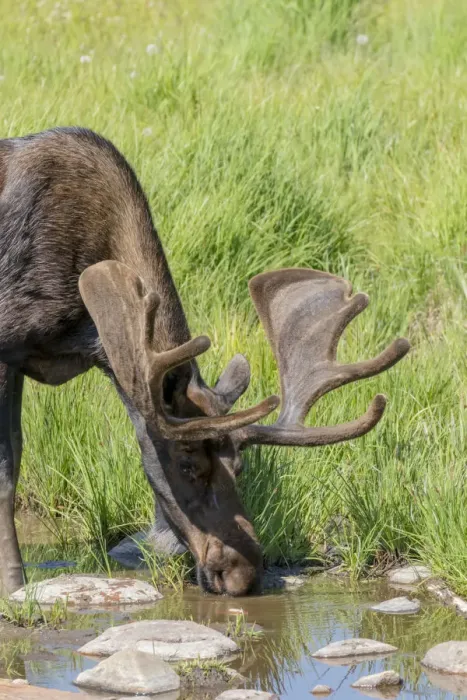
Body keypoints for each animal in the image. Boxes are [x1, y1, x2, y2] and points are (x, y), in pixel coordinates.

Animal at [0, 127, 410, 597]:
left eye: (240, 466)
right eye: (187, 463)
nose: (243, 572)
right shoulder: (6, 344)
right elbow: (7, 470)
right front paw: (14, 582)